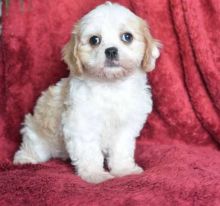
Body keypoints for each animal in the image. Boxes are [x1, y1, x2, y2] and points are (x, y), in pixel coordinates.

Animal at [12, 2, 160, 183]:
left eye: (127, 37)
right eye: (94, 40)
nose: (111, 50)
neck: (111, 85)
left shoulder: (125, 126)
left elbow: (121, 150)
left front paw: (124, 170)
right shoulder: (81, 124)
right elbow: (89, 152)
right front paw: (95, 174)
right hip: (37, 133)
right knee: (32, 147)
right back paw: (25, 159)